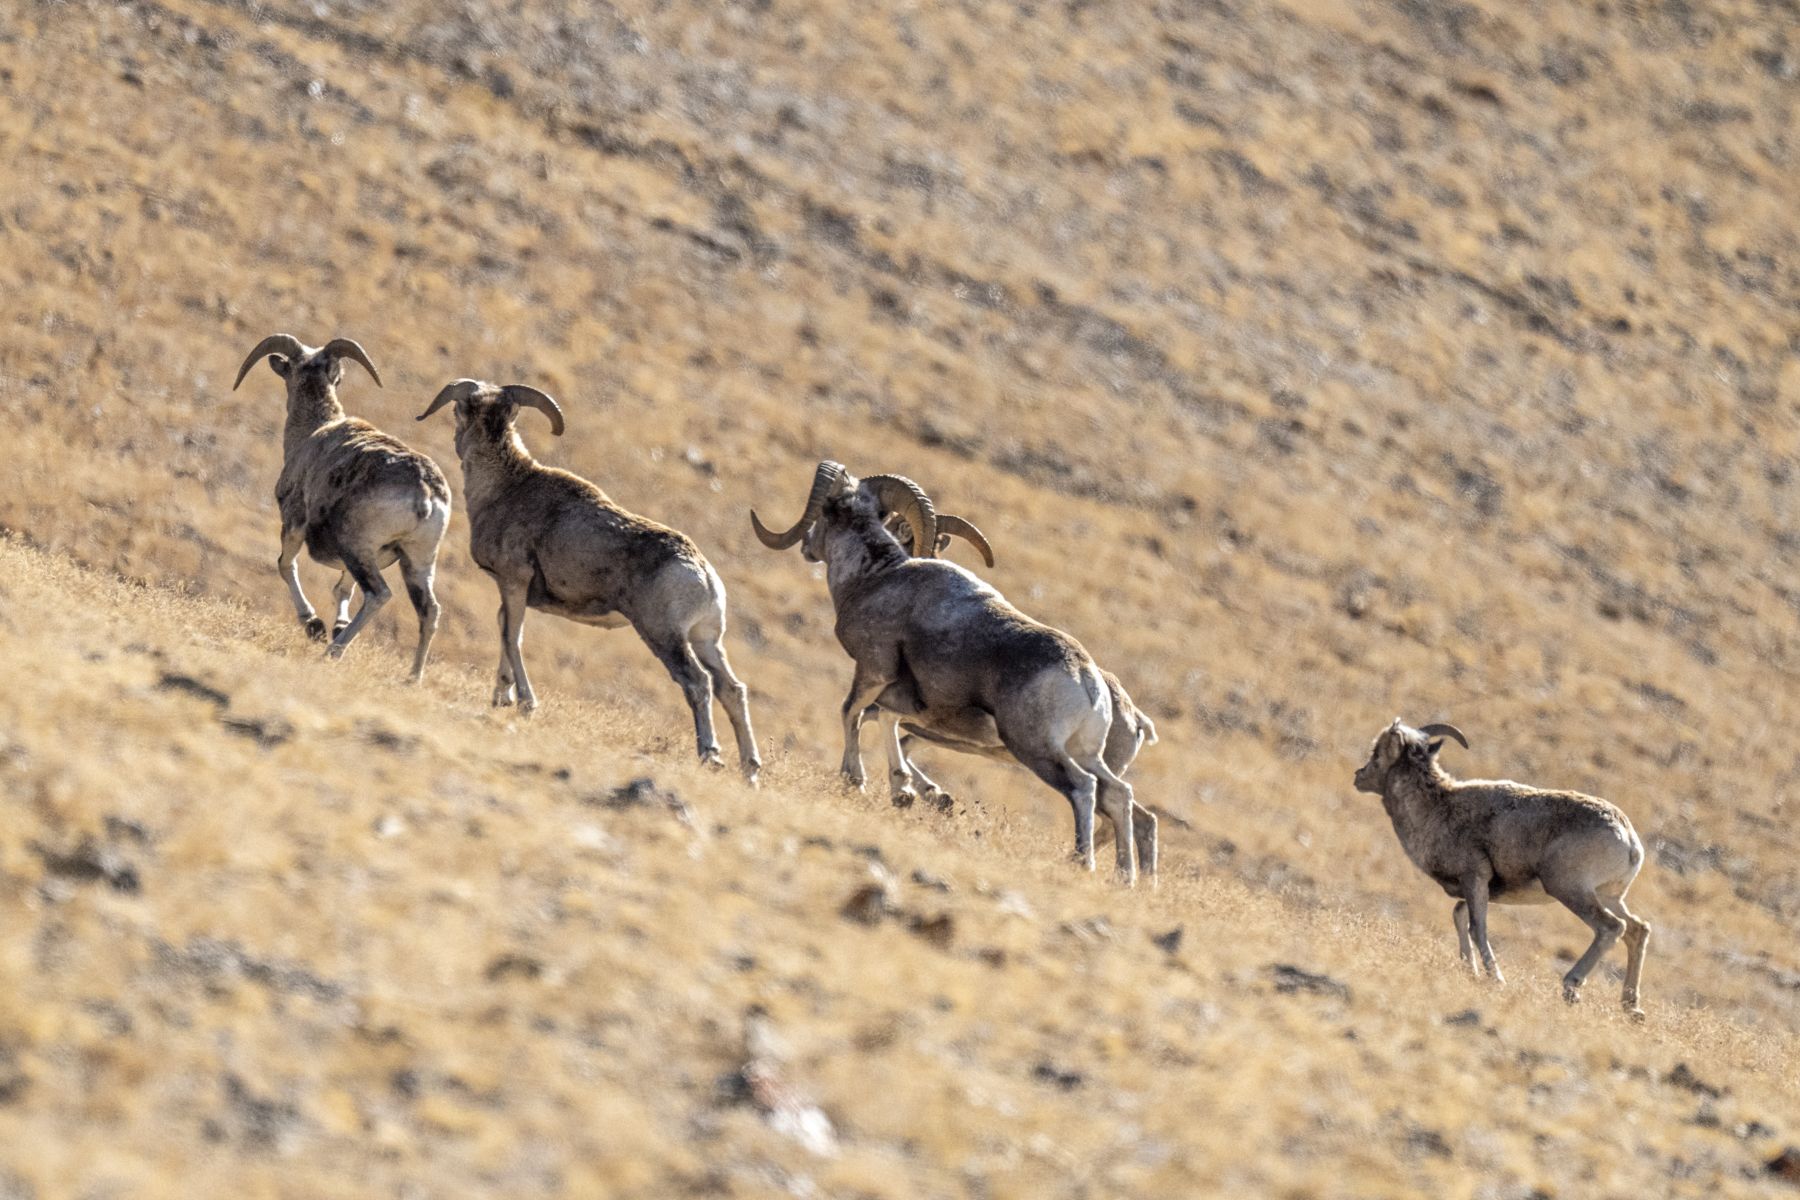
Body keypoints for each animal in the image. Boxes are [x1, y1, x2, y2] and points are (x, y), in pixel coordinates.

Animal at [232, 334, 451, 681]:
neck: (312, 431)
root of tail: (425, 493)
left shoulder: (293, 523)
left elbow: (285, 565)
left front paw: (315, 626)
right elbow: (341, 590)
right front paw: (334, 626)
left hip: (358, 548)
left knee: (379, 594)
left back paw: (332, 653)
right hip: (417, 561)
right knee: (429, 610)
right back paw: (412, 678)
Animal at [417, 379, 761, 782]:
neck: (503, 488)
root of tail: (702, 575)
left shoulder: (514, 581)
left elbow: (512, 637)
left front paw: (526, 705)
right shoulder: (510, 591)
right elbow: (504, 630)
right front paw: (502, 698)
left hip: (663, 636)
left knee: (698, 683)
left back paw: (711, 755)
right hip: (705, 639)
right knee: (731, 688)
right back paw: (751, 771)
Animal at [1353, 719, 1650, 1017]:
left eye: (1377, 753)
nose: (1358, 776)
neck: (1436, 809)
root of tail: (1628, 840)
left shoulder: (1474, 879)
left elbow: (1477, 929)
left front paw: (1496, 980)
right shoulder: (1476, 890)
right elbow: (1460, 916)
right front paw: (1470, 971)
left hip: (1569, 890)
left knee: (1611, 927)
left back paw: (1571, 987)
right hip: (1609, 896)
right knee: (1638, 930)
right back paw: (1632, 1008)